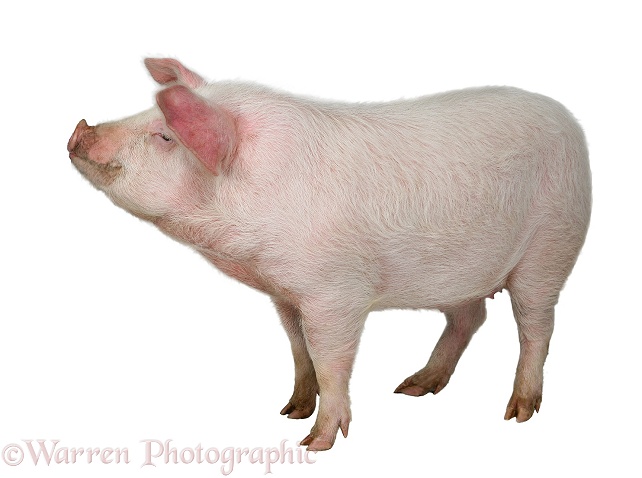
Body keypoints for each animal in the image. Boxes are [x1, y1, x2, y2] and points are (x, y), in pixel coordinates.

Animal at [67, 58, 588, 450]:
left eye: (165, 136)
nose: (80, 128)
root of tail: (567, 119)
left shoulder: (335, 291)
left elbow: (329, 355)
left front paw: (314, 443)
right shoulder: (284, 291)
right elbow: (298, 348)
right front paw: (290, 411)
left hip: (552, 245)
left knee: (537, 325)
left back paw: (517, 412)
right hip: (461, 271)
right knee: (470, 317)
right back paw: (412, 387)